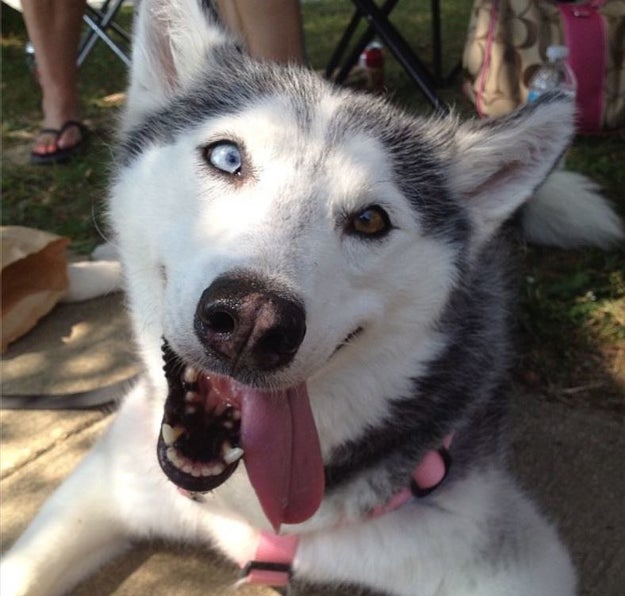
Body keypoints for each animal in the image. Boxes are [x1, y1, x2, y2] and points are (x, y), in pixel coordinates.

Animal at [2, 1, 620, 596]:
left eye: (370, 220)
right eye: (227, 158)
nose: (253, 321)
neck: (248, 510)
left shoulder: (511, 558)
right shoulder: (105, 483)